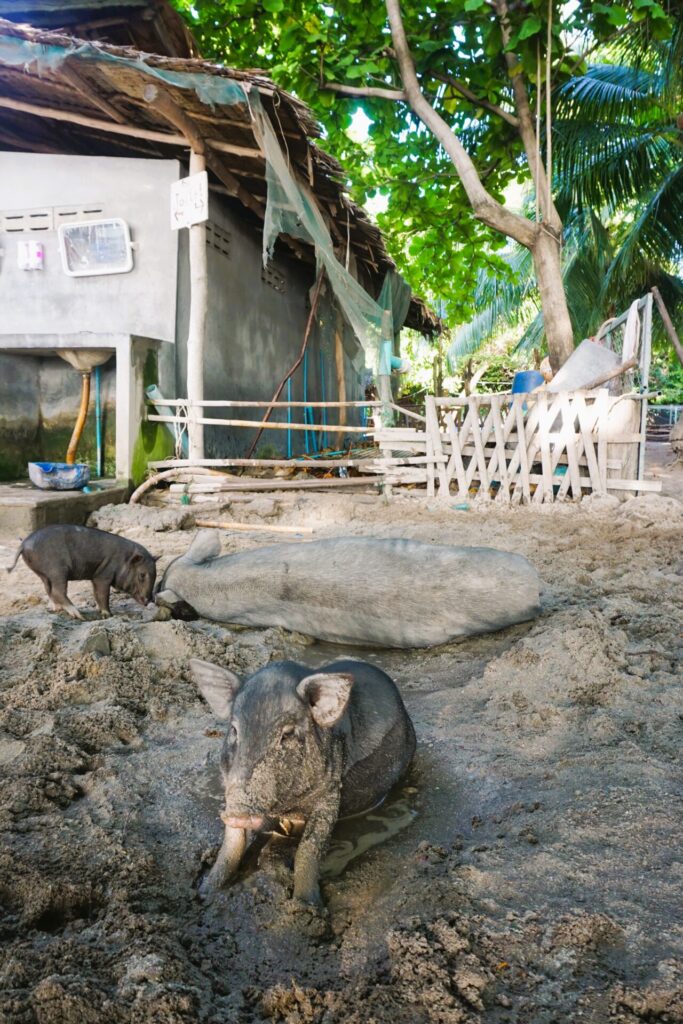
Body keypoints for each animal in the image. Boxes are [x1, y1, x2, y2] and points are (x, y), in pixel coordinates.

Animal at [7, 524, 157, 619]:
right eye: (142, 575)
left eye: (156, 575)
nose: (149, 600)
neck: (123, 559)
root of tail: (23, 544)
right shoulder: (103, 575)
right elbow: (103, 594)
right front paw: (109, 615)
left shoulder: (95, 577)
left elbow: (96, 594)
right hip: (57, 569)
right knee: (57, 591)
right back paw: (79, 616)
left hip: (43, 573)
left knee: (48, 589)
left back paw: (57, 609)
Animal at [191, 657, 416, 907]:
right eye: (234, 730)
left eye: (287, 733)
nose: (239, 813)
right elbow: (231, 845)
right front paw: (205, 893)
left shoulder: (330, 792)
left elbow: (309, 849)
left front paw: (307, 906)